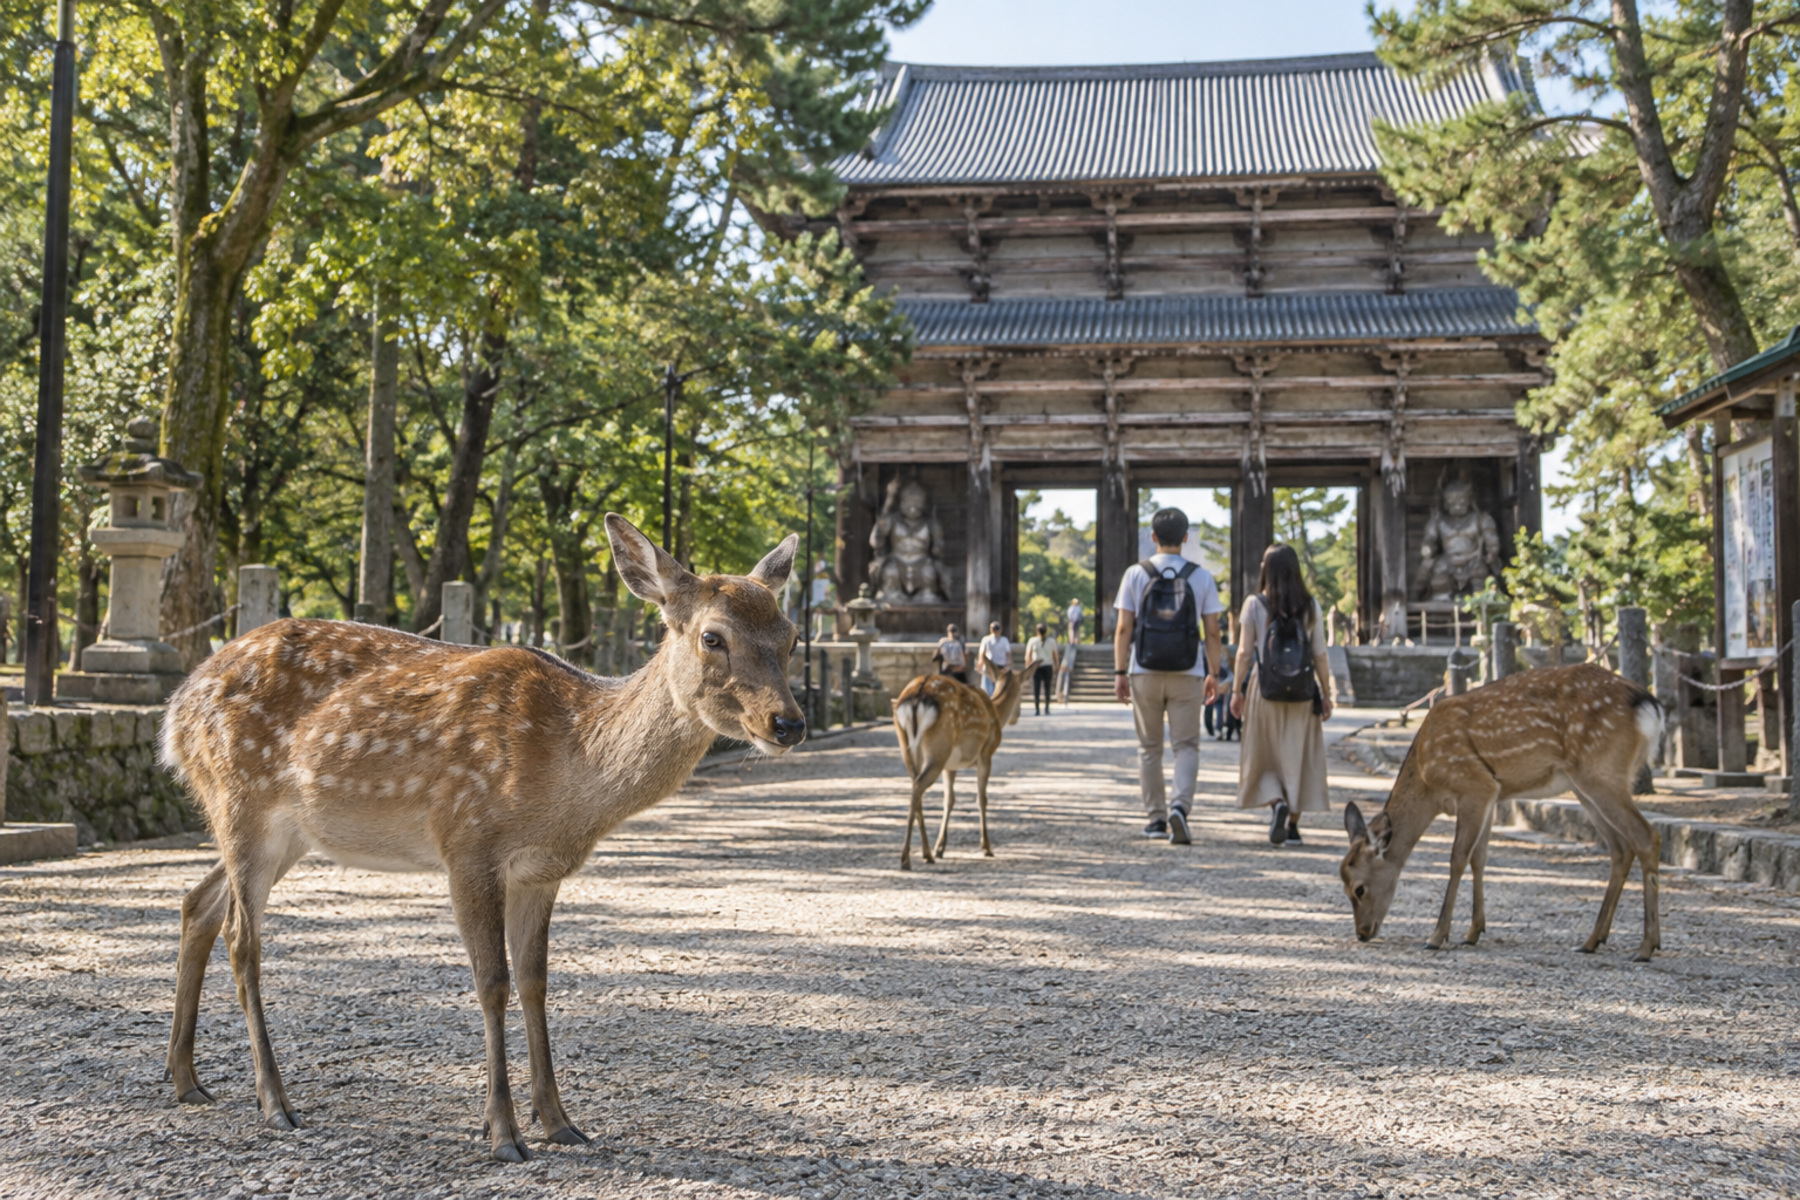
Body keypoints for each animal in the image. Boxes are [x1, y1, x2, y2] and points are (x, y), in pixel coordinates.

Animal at [159, 515, 803, 1162]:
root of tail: (173, 712)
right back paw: (274, 1101)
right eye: (714, 637)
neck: (569, 777)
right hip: (240, 799)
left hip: (287, 832)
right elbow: (492, 983)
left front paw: (559, 1121)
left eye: (792, 636)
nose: (789, 723)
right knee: (243, 937)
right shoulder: (467, 843)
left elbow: (535, 982)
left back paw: (187, 1079)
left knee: (197, 903)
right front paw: (502, 1132)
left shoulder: (541, 869)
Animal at [890, 667, 1026, 870]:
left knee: (915, 786)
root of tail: (916, 699)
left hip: (908, 747)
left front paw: (940, 848)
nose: (1018, 716)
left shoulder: (950, 765)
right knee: (918, 785)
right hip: (939, 747)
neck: (995, 710)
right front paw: (987, 847)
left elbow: (949, 800)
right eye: (1022, 692)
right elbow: (981, 799)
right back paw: (907, 858)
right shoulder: (986, 754)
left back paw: (927, 853)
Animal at [1339, 663, 1665, 961]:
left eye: (1359, 889)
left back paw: (1646, 946)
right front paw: (1472, 932)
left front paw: (1437, 936)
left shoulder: (1474, 785)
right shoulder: (1491, 796)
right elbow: (1479, 859)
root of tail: (1650, 705)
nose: (1362, 933)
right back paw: (1592, 940)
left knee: (1646, 836)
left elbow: (1458, 858)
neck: (1427, 779)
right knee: (1621, 848)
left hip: (1600, 770)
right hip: (1585, 783)